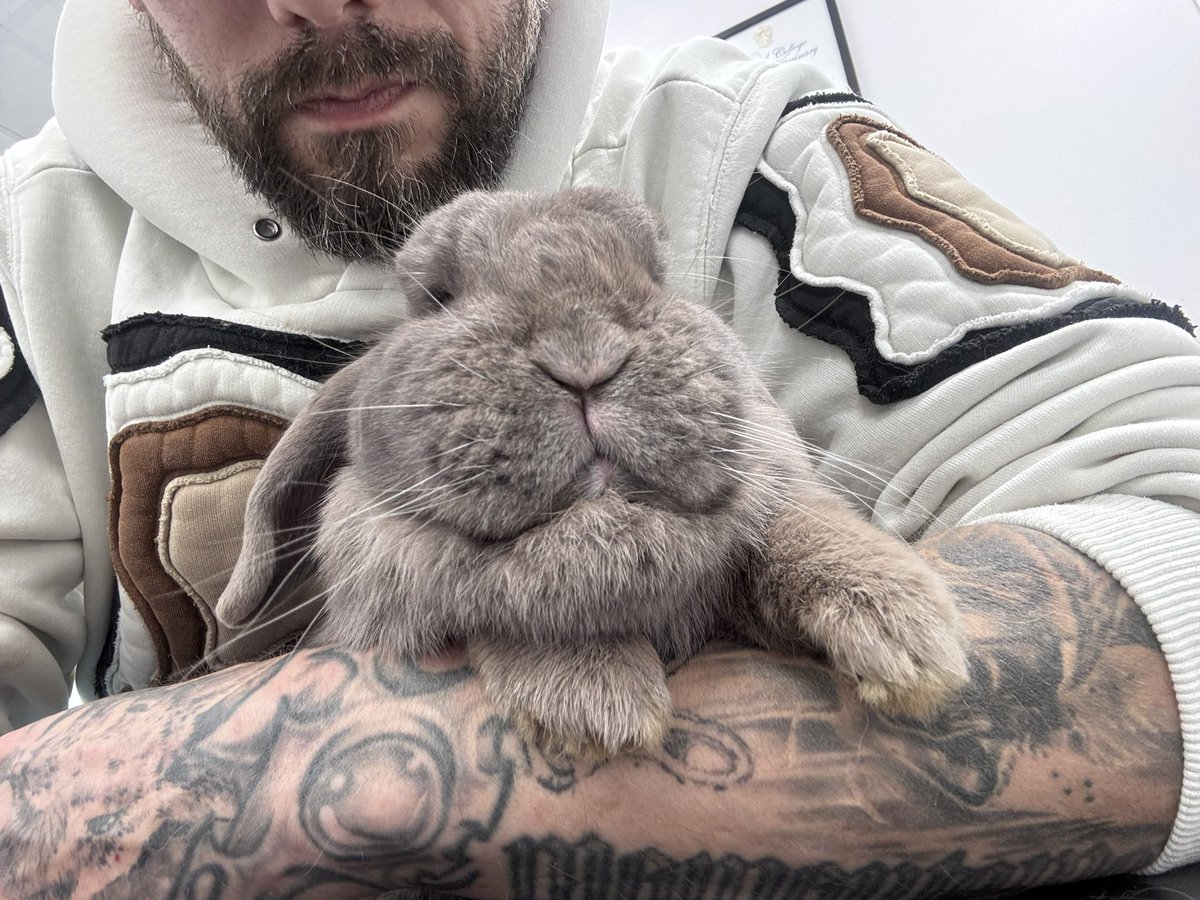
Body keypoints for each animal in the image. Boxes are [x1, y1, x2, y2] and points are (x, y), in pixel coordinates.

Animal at [215, 187, 969, 761]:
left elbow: (796, 525)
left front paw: (909, 635)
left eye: (655, 275)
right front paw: (593, 704)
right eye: (437, 297)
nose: (584, 354)